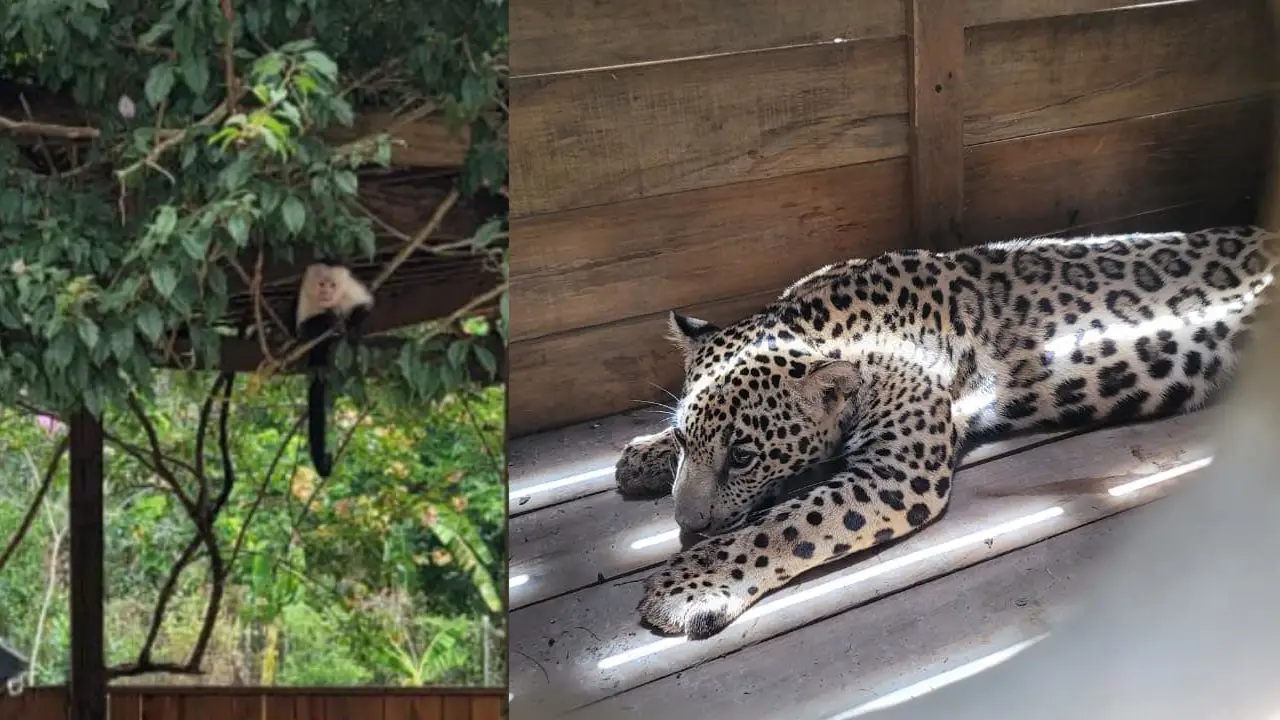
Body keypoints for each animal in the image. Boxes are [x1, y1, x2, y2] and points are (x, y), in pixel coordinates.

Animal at [293, 261, 374, 477]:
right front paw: (328, 319)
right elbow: (303, 331)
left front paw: (352, 324)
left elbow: (367, 306)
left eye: (333, 285)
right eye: (321, 284)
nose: (326, 292)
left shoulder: (350, 291)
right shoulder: (306, 296)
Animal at [613, 226, 1277, 640]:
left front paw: (685, 587)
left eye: (745, 456)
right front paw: (641, 458)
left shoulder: (897, 470)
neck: (838, 320)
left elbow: (785, 526)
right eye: (686, 443)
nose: (686, 524)